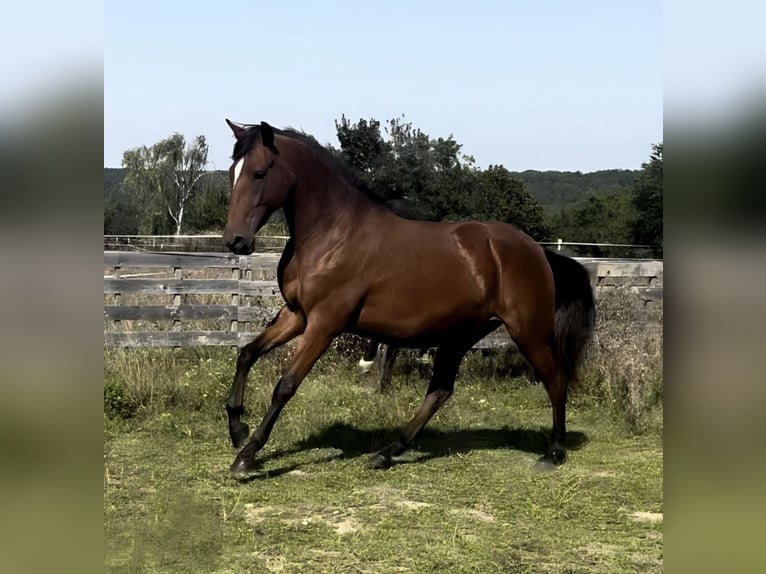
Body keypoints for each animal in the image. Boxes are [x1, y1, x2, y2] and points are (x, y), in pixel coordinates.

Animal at [220, 120, 592, 476]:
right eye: (232, 170)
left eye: (259, 172)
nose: (235, 240)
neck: (332, 234)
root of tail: (539, 252)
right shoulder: (297, 315)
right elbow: (247, 354)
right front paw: (238, 430)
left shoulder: (325, 323)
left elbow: (285, 385)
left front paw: (246, 456)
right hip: (460, 336)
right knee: (439, 391)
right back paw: (386, 453)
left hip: (529, 332)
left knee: (555, 381)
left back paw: (553, 453)